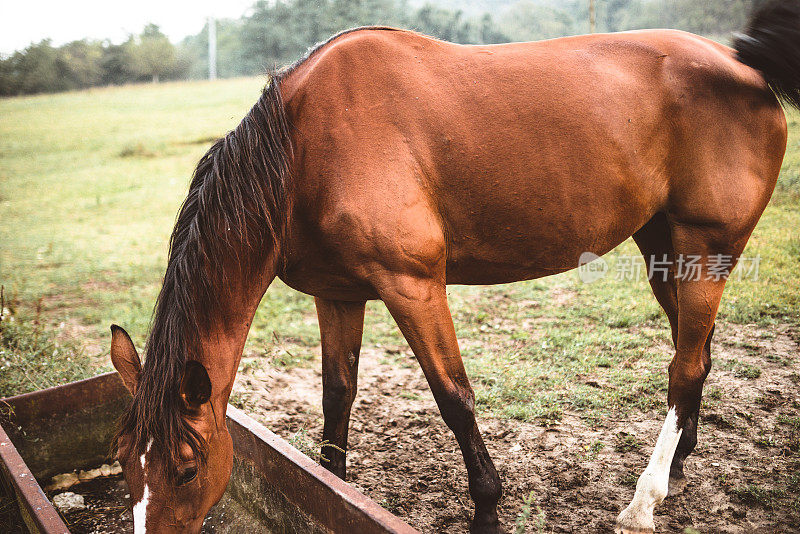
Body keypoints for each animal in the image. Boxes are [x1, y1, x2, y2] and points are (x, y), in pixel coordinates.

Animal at [108, 2, 800, 532]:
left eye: (186, 468)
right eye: (122, 463)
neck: (304, 148)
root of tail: (742, 66)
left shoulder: (412, 286)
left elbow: (454, 398)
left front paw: (487, 511)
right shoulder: (339, 296)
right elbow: (337, 399)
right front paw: (333, 488)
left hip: (704, 247)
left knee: (684, 369)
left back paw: (643, 501)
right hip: (663, 249)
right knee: (696, 353)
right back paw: (677, 469)